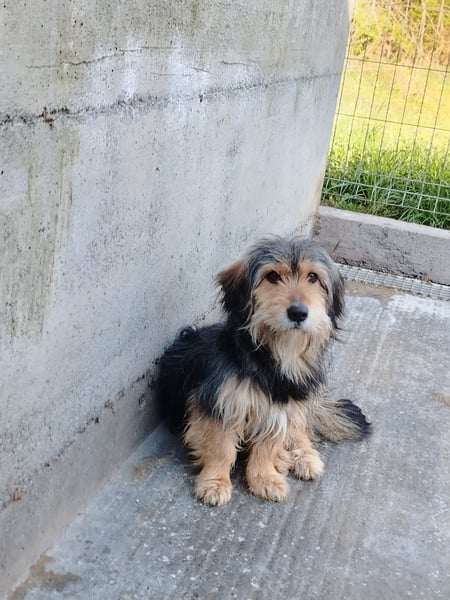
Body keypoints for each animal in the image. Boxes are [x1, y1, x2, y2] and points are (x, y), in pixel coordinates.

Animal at [157, 236, 370, 506]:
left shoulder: (279, 406)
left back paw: (301, 457)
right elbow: (220, 447)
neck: (271, 358)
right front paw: (215, 482)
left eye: (313, 277)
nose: (299, 312)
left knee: (300, 431)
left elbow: (267, 446)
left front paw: (265, 478)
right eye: (272, 276)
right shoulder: (219, 402)